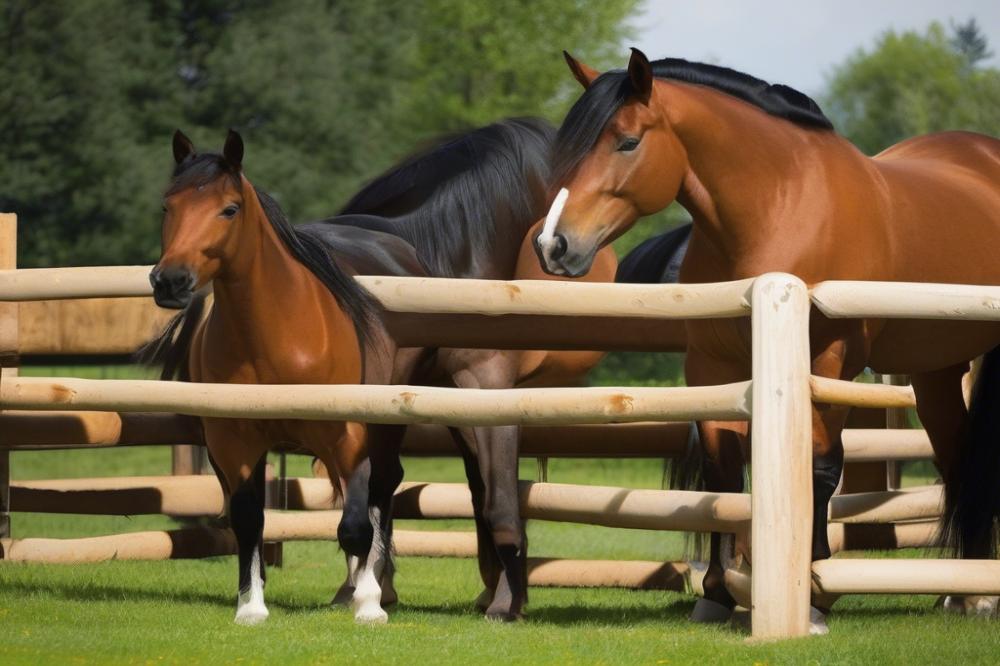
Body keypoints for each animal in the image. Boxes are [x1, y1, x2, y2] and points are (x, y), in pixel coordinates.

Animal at [535, 48, 1000, 631]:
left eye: (627, 142)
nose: (553, 245)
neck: (780, 208)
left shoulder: (829, 359)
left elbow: (820, 468)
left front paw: (816, 595)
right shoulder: (712, 364)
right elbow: (724, 475)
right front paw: (716, 593)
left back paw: (976, 594)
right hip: (935, 370)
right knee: (960, 462)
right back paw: (961, 591)